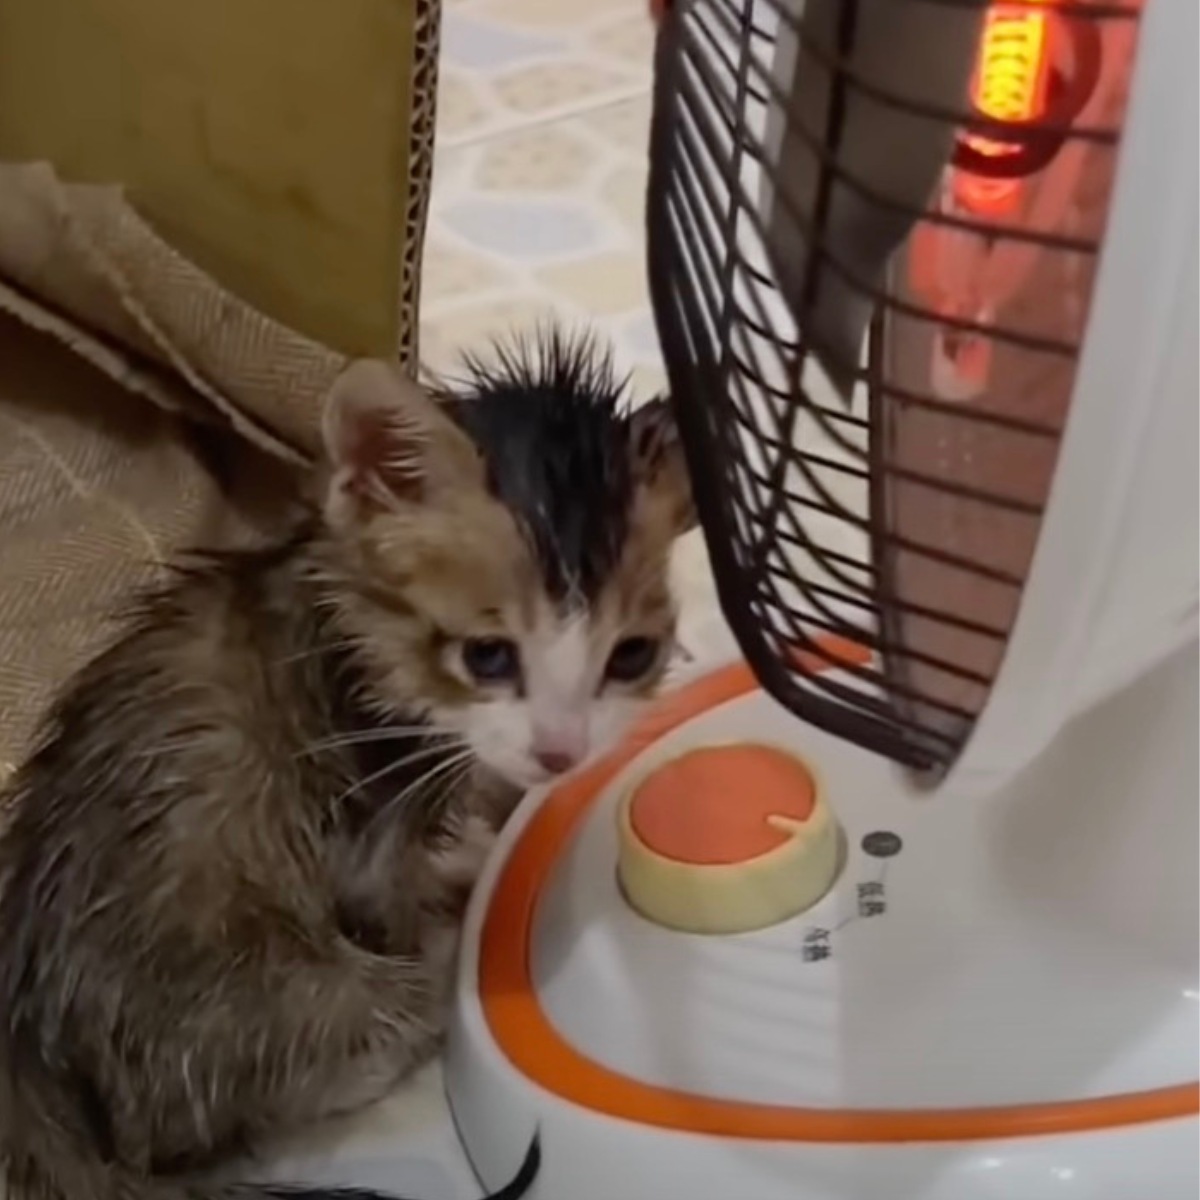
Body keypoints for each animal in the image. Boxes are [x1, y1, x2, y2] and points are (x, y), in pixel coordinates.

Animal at [0, 333, 696, 1200]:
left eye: (632, 655)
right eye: (487, 656)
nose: (560, 751)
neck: (358, 631)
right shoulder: (364, 817)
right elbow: (398, 887)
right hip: (277, 995)